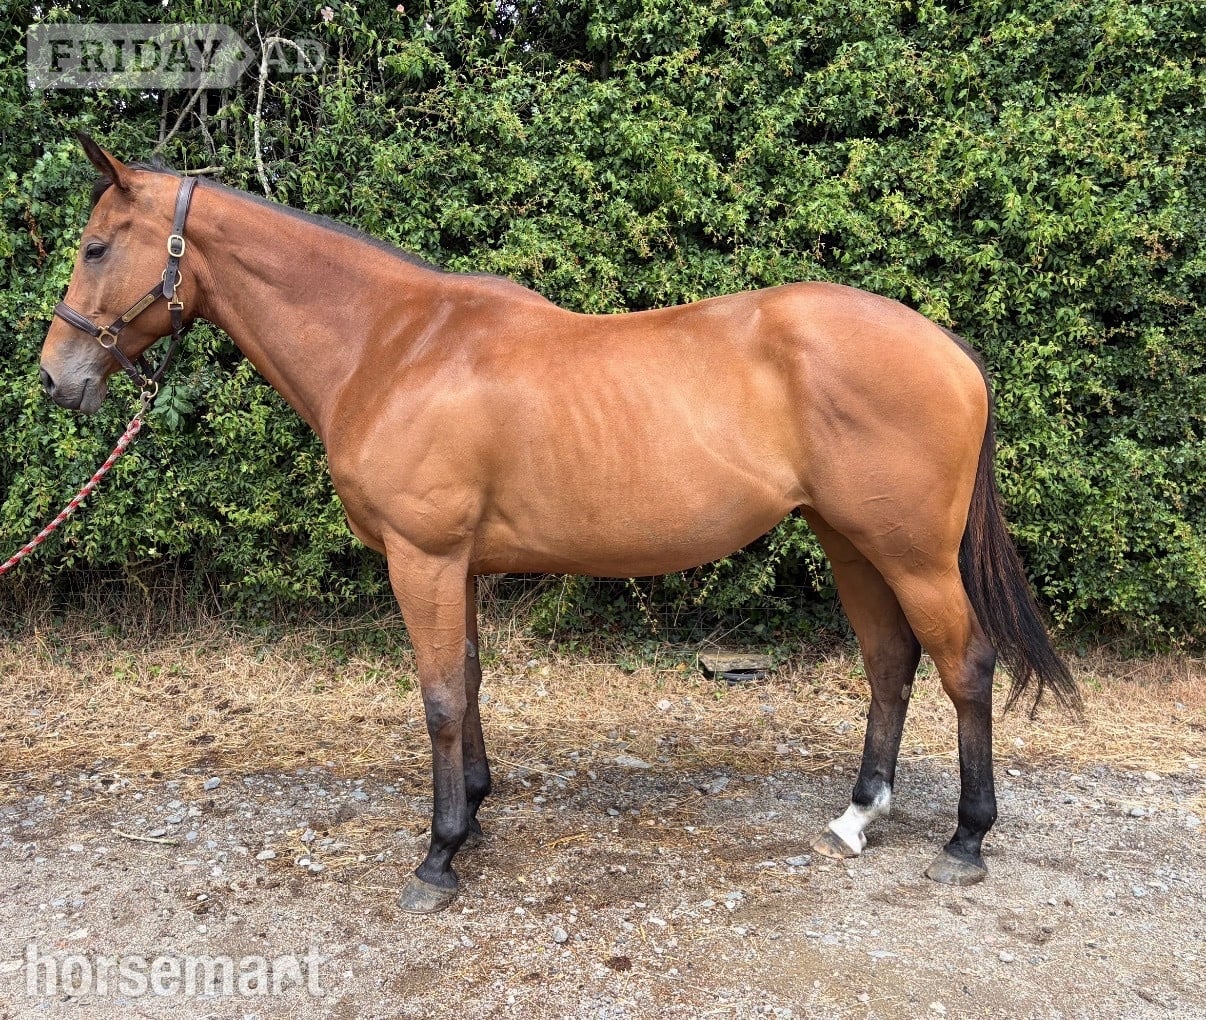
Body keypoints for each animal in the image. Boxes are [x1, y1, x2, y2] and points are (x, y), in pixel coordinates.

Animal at [39, 135, 1080, 913]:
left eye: (95, 248)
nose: (56, 378)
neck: (395, 344)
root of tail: (950, 349)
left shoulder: (423, 558)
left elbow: (439, 696)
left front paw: (438, 857)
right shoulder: (454, 563)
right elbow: (466, 679)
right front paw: (473, 811)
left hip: (912, 552)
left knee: (965, 665)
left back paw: (965, 840)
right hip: (849, 541)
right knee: (890, 663)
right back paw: (861, 816)